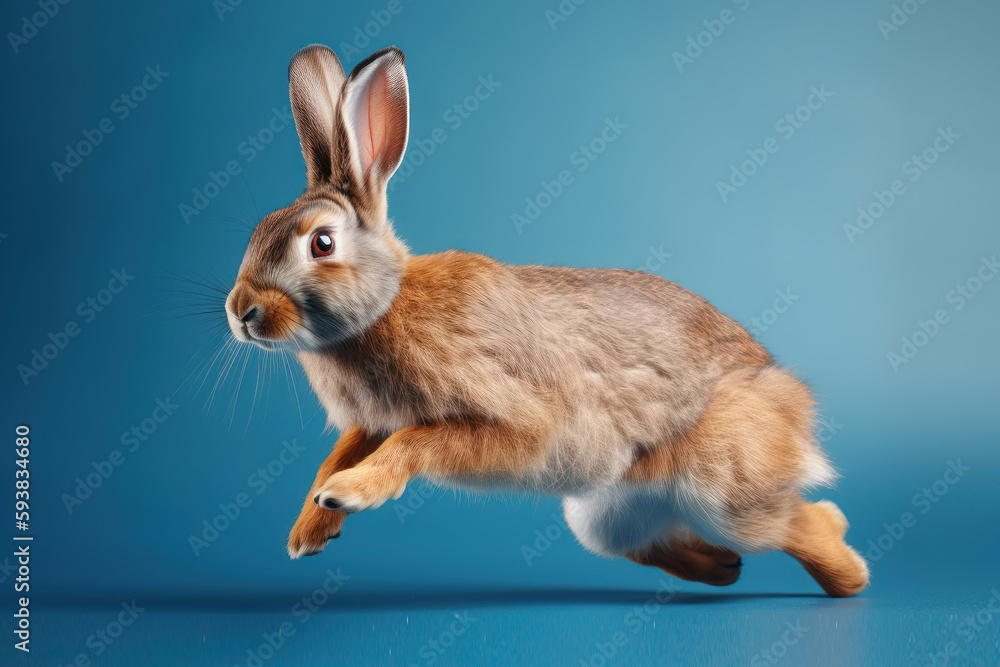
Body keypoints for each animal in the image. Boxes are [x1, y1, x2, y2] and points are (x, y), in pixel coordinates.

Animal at [224, 44, 869, 597]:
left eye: (322, 243)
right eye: (256, 230)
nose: (240, 313)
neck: (385, 305)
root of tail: (790, 408)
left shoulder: (508, 419)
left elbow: (417, 443)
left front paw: (347, 495)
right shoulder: (372, 422)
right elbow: (336, 453)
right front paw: (309, 530)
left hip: (723, 489)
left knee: (796, 523)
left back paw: (846, 570)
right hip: (603, 516)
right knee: (659, 544)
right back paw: (725, 568)